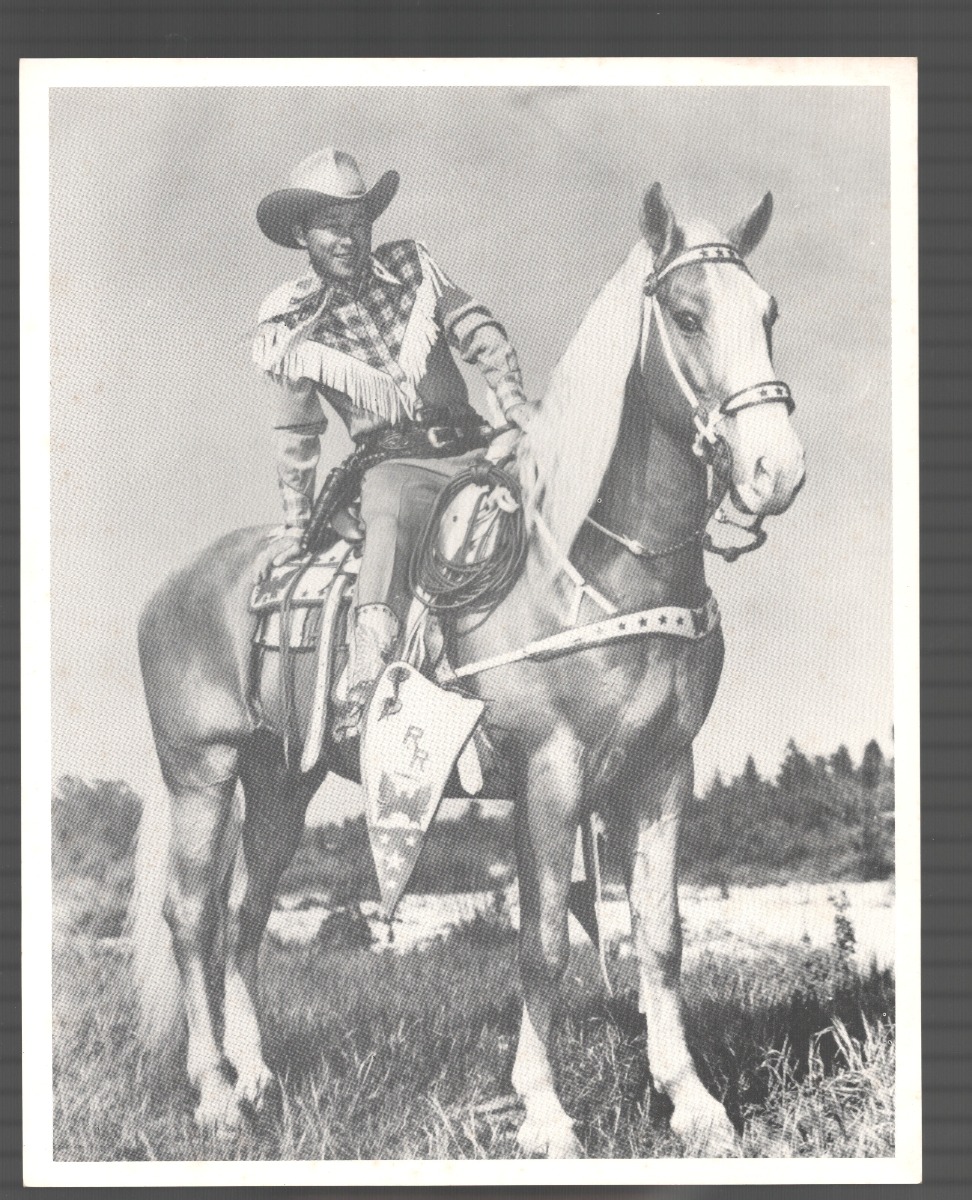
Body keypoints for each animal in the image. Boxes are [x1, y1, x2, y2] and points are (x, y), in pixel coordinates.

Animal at [133, 181, 805, 1158]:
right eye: (686, 314)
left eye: (768, 311)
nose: (775, 469)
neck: (590, 565)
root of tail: (173, 585)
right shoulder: (551, 771)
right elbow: (543, 943)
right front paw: (546, 1113)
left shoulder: (663, 769)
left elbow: (662, 935)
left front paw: (696, 1105)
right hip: (203, 772)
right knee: (190, 916)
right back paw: (215, 1096)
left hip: (281, 780)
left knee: (245, 915)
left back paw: (256, 1077)